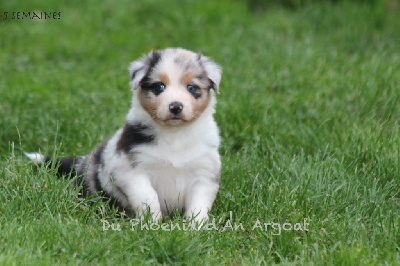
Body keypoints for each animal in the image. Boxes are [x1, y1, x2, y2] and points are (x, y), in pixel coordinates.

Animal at [25, 47, 222, 222]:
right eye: (159, 87)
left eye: (191, 87)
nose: (175, 106)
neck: (175, 135)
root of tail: (84, 160)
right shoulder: (131, 171)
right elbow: (149, 198)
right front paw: (152, 224)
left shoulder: (204, 174)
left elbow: (198, 204)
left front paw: (196, 227)